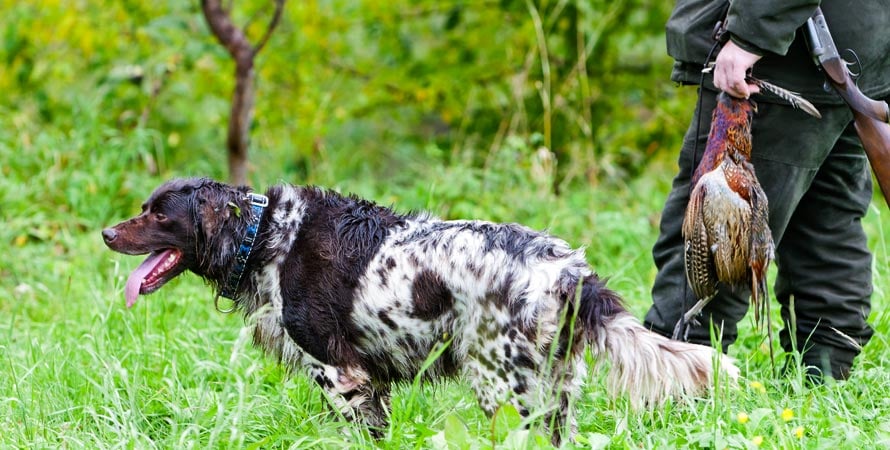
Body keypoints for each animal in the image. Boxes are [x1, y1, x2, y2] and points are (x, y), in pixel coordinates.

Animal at [102, 177, 736, 442]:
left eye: (159, 214)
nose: (106, 233)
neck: (268, 235)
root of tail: (565, 268)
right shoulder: (367, 381)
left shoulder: (339, 374)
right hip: (550, 389)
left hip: (505, 387)